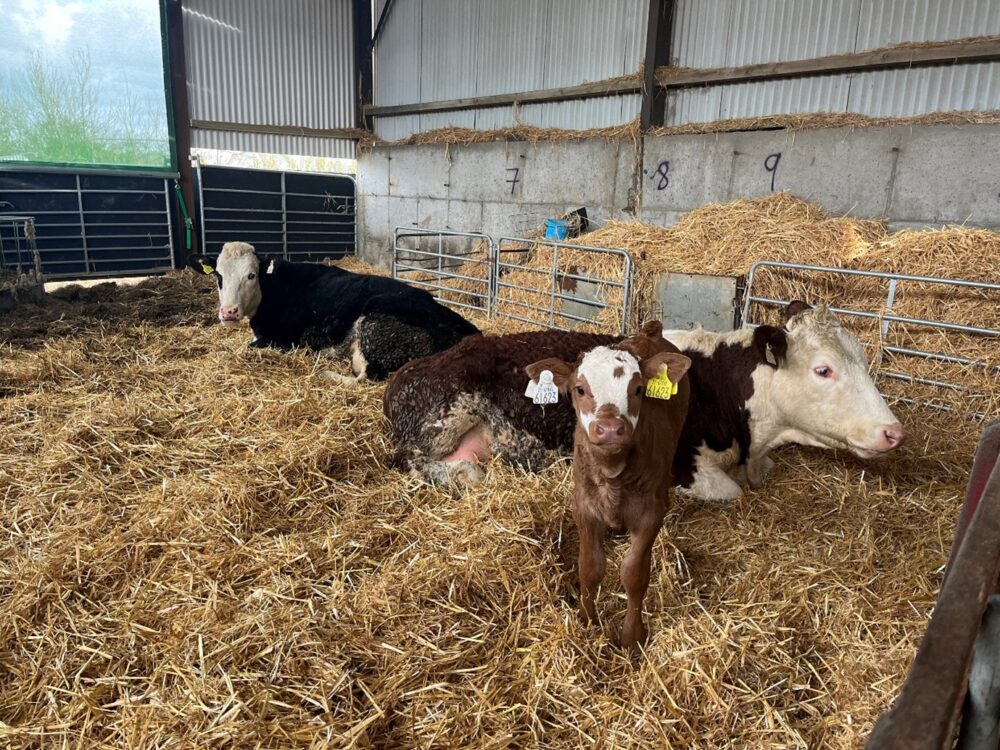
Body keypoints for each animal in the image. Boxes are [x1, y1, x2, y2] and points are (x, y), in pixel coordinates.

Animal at [188, 242, 479, 382]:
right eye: (218, 275)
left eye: (251, 275)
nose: (228, 312)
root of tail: (469, 332)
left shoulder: (279, 340)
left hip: (376, 325)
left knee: (369, 376)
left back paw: (325, 373)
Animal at [383, 302, 905, 498]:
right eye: (824, 369)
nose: (894, 432)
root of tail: (406, 372)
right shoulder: (680, 465)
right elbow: (730, 491)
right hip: (445, 414)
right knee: (413, 462)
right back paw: (468, 473)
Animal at [525, 322, 691, 653]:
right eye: (580, 389)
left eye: (638, 390)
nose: (611, 429)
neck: (613, 473)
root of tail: (650, 332)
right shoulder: (584, 506)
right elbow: (590, 568)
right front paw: (587, 622)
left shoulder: (650, 513)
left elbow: (634, 574)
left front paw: (632, 637)